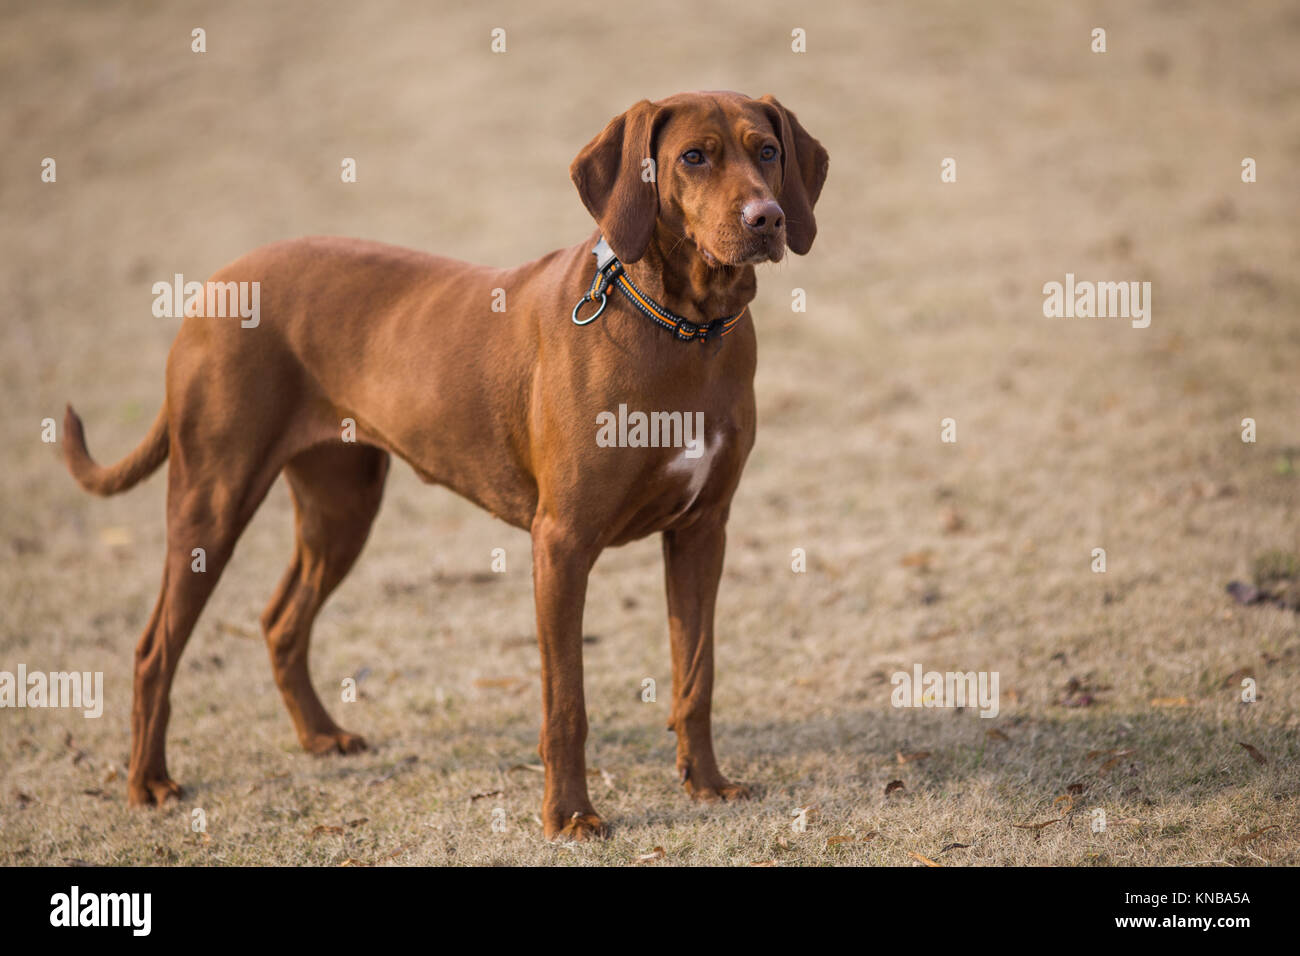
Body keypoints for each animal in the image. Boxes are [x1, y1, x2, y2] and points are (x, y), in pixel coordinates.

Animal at [61, 89, 826, 837]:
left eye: (767, 150)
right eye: (694, 156)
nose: (768, 218)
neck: (683, 327)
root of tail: (215, 284)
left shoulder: (702, 531)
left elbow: (696, 674)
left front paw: (707, 784)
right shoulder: (563, 543)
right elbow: (566, 704)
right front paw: (570, 816)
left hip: (343, 505)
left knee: (281, 619)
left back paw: (321, 736)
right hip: (213, 500)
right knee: (155, 648)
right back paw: (148, 782)